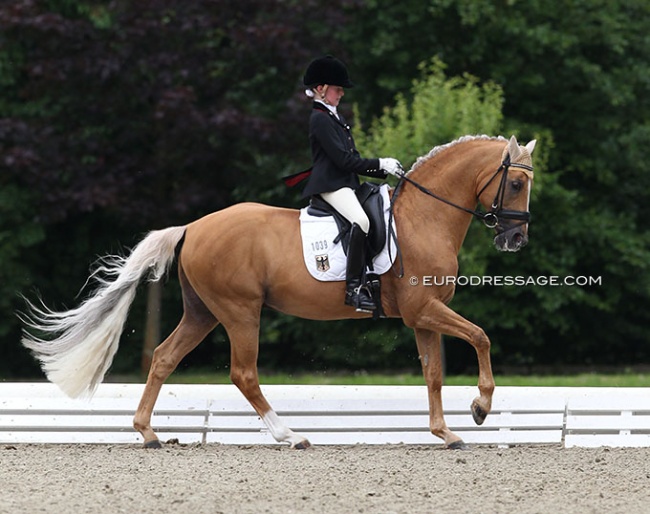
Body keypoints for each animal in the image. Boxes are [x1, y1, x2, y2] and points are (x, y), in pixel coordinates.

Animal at [21, 133, 536, 448]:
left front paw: (446, 433)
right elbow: (481, 337)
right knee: (243, 373)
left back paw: (147, 433)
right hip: (239, 311)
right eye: (514, 182)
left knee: (165, 357)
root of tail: (192, 227)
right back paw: (289, 435)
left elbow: (433, 373)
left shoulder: (422, 315)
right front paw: (481, 408)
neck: (423, 220)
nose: (515, 240)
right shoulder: (423, 309)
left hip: (203, 312)